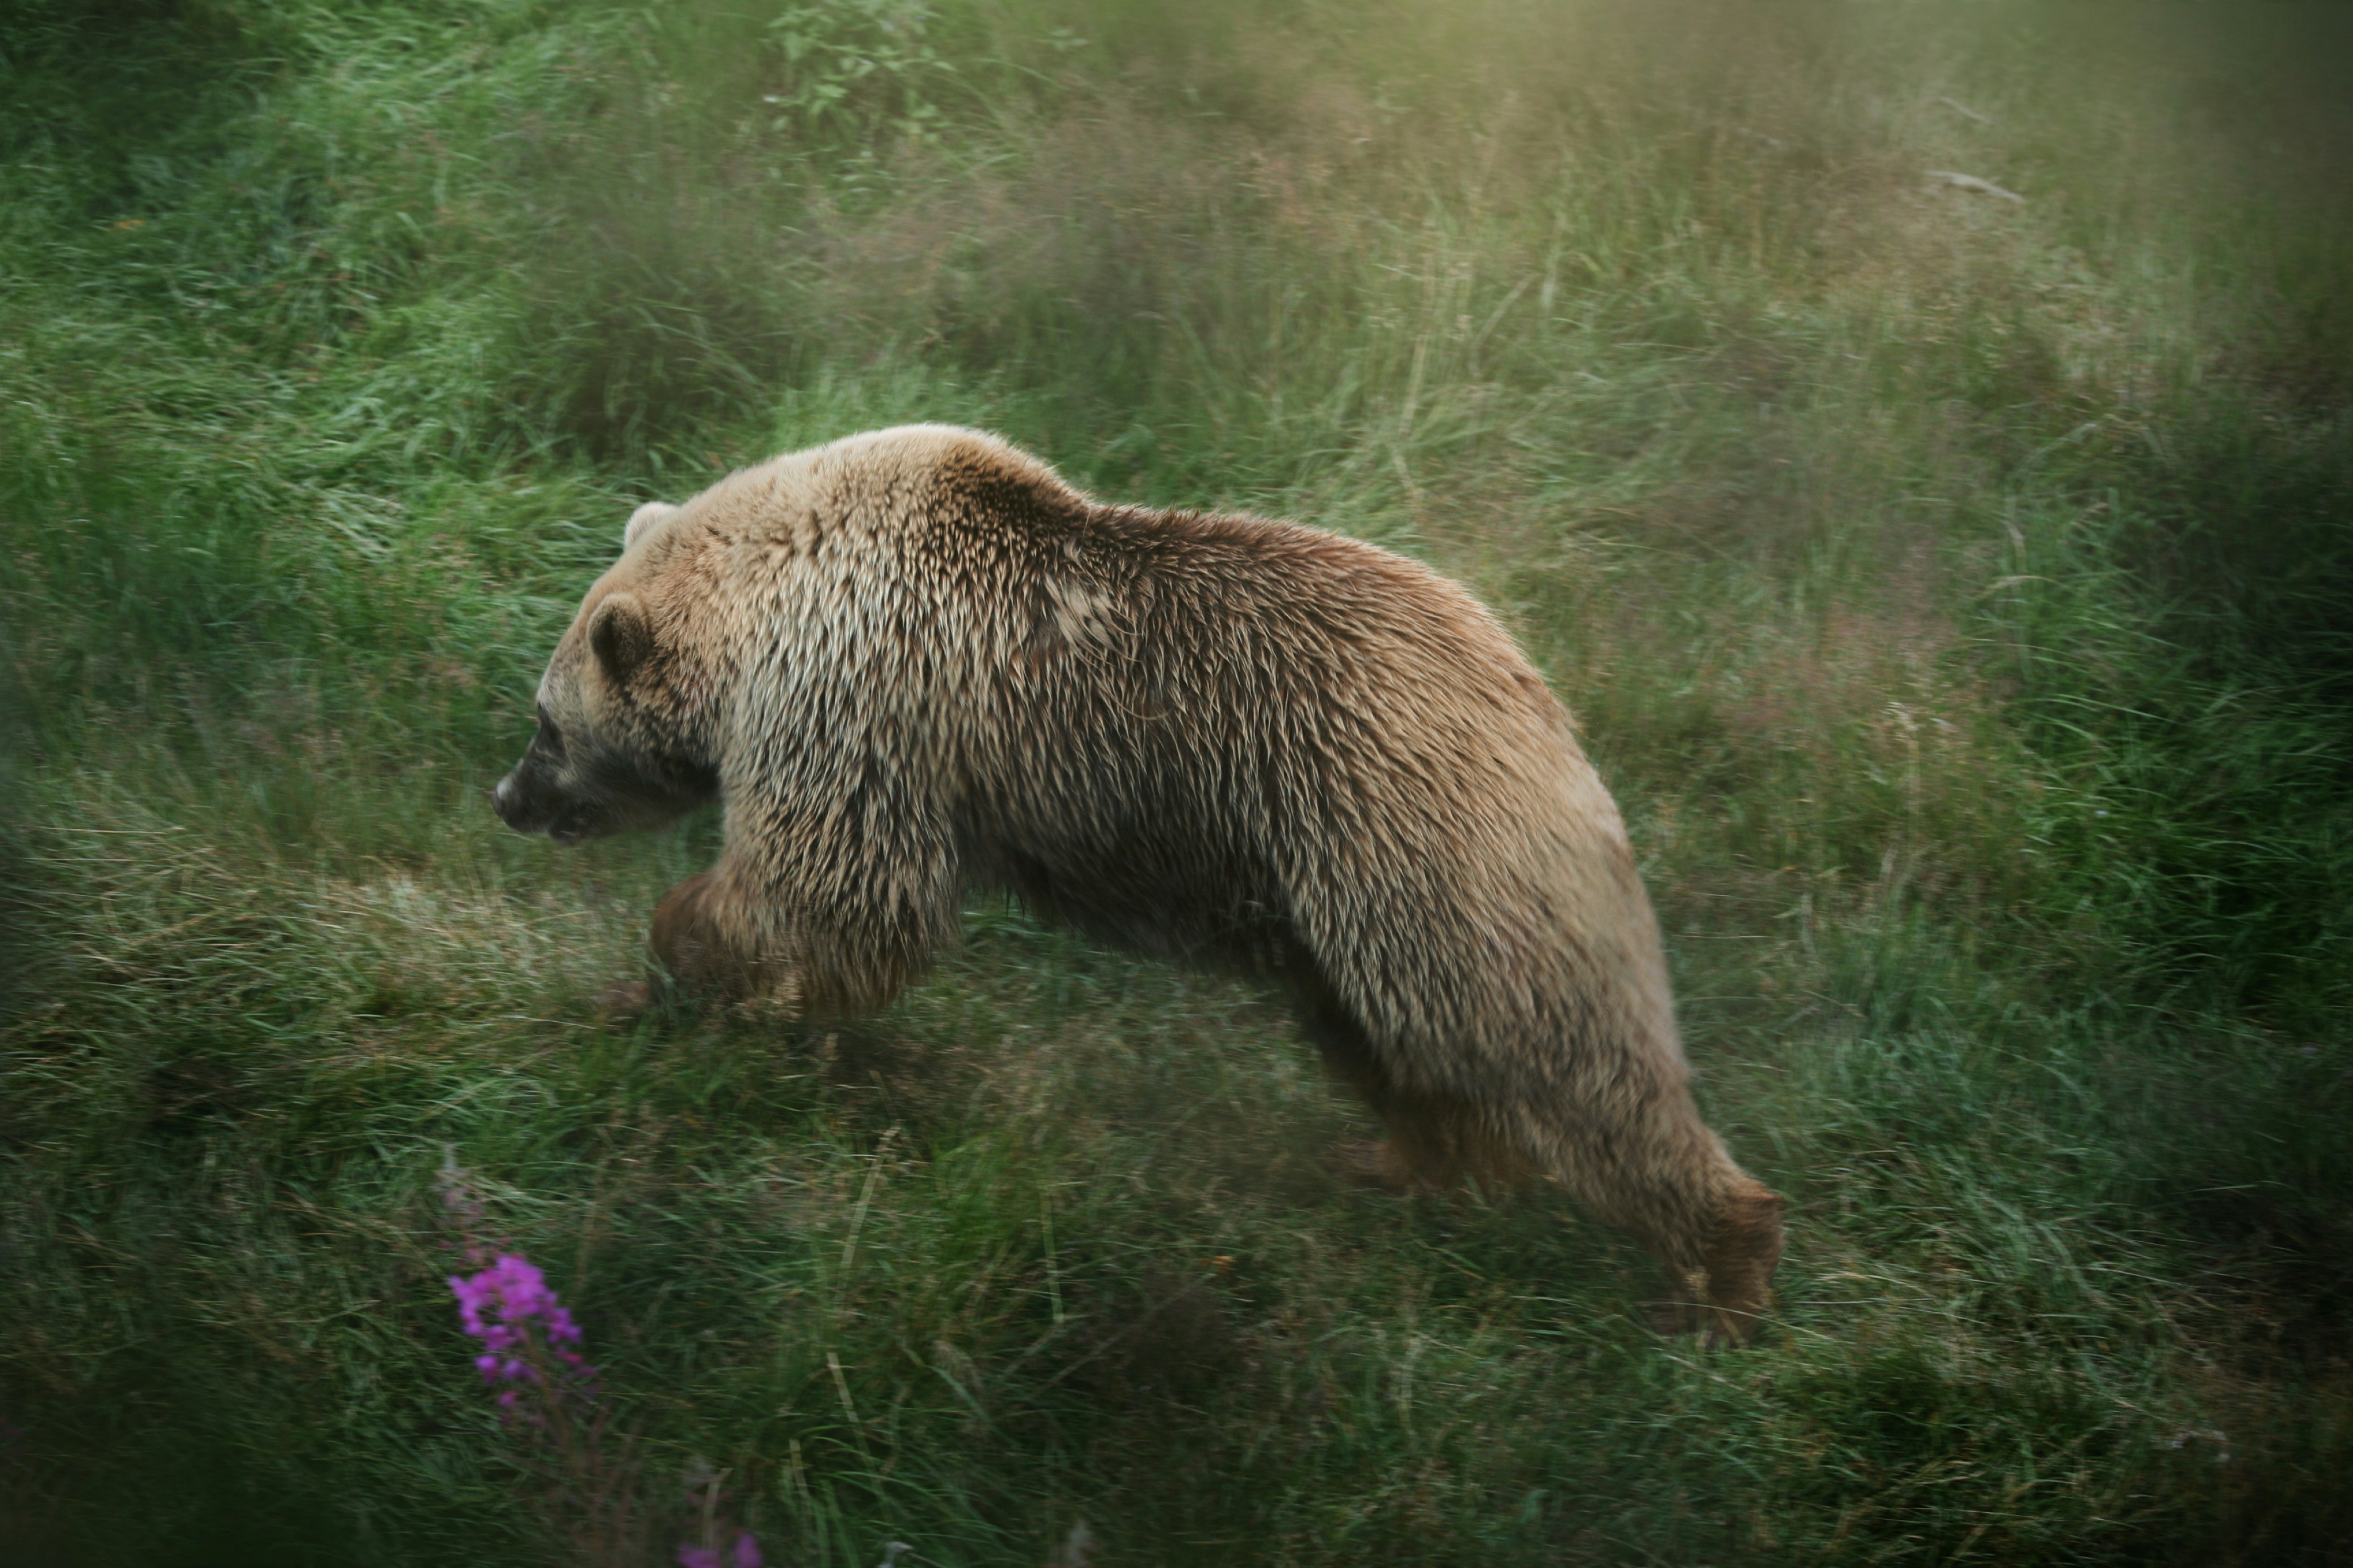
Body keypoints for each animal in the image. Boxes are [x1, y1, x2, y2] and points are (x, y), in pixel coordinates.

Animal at [491, 425, 1784, 1342]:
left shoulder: (858, 702)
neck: (764, 605)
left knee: (1535, 1029)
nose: (509, 798)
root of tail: (1538, 695)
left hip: (1407, 829)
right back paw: (1400, 1161)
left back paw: (1719, 1266)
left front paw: (676, 950)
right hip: (1330, 897)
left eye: (546, 722)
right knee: (1384, 1035)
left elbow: (837, 890)